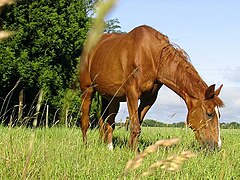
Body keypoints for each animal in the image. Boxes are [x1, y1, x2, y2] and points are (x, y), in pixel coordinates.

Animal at [79, 24, 224, 150]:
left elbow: (137, 123)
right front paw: (133, 153)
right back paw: (85, 146)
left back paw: (107, 147)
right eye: (209, 114)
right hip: (88, 90)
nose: (216, 146)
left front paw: (131, 149)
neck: (152, 56)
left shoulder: (149, 98)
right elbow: (135, 126)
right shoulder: (132, 94)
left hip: (110, 97)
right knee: (85, 121)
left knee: (105, 122)